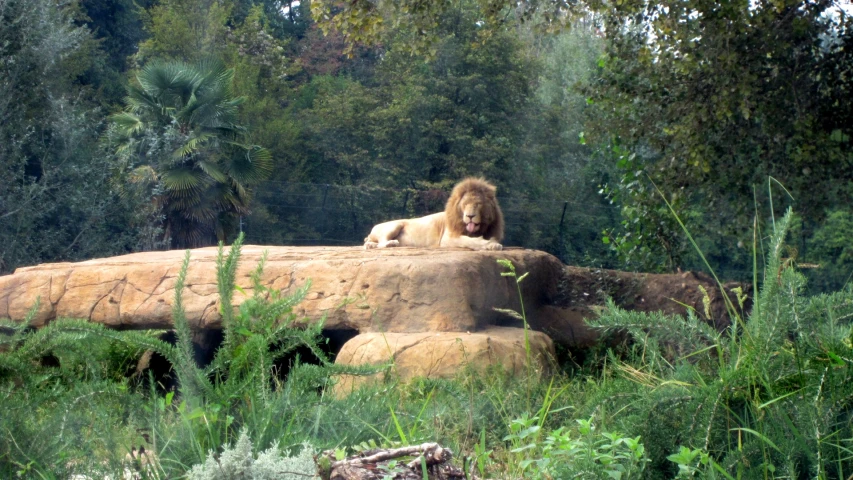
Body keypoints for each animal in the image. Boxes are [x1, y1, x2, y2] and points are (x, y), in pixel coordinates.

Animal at [362, 177, 506, 251]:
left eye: (478, 204)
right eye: (464, 205)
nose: (470, 216)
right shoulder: (447, 238)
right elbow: (470, 241)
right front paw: (492, 245)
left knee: (371, 243)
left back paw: (371, 245)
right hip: (394, 225)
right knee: (382, 241)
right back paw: (391, 243)